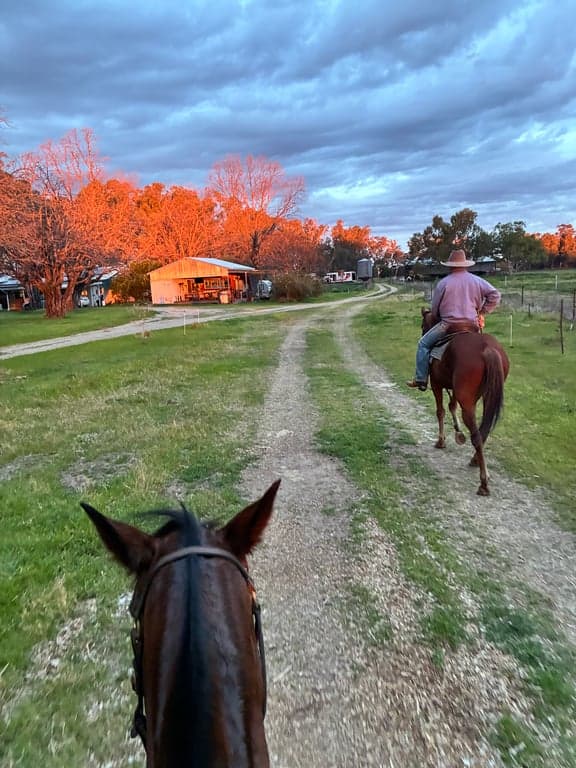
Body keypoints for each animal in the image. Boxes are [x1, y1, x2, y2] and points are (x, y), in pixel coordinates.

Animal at [421, 309, 509, 496]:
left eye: (422, 324)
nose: (423, 333)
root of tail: (487, 348)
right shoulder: (455, 389)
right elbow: (451, 405)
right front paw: (458, 433)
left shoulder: (436, 384)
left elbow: (440, 411)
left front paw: (441, 441)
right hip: (484, 395)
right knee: (483, 430)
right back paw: (476, 462)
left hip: (467, 400)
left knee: (476, 435)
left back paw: (483, 483)